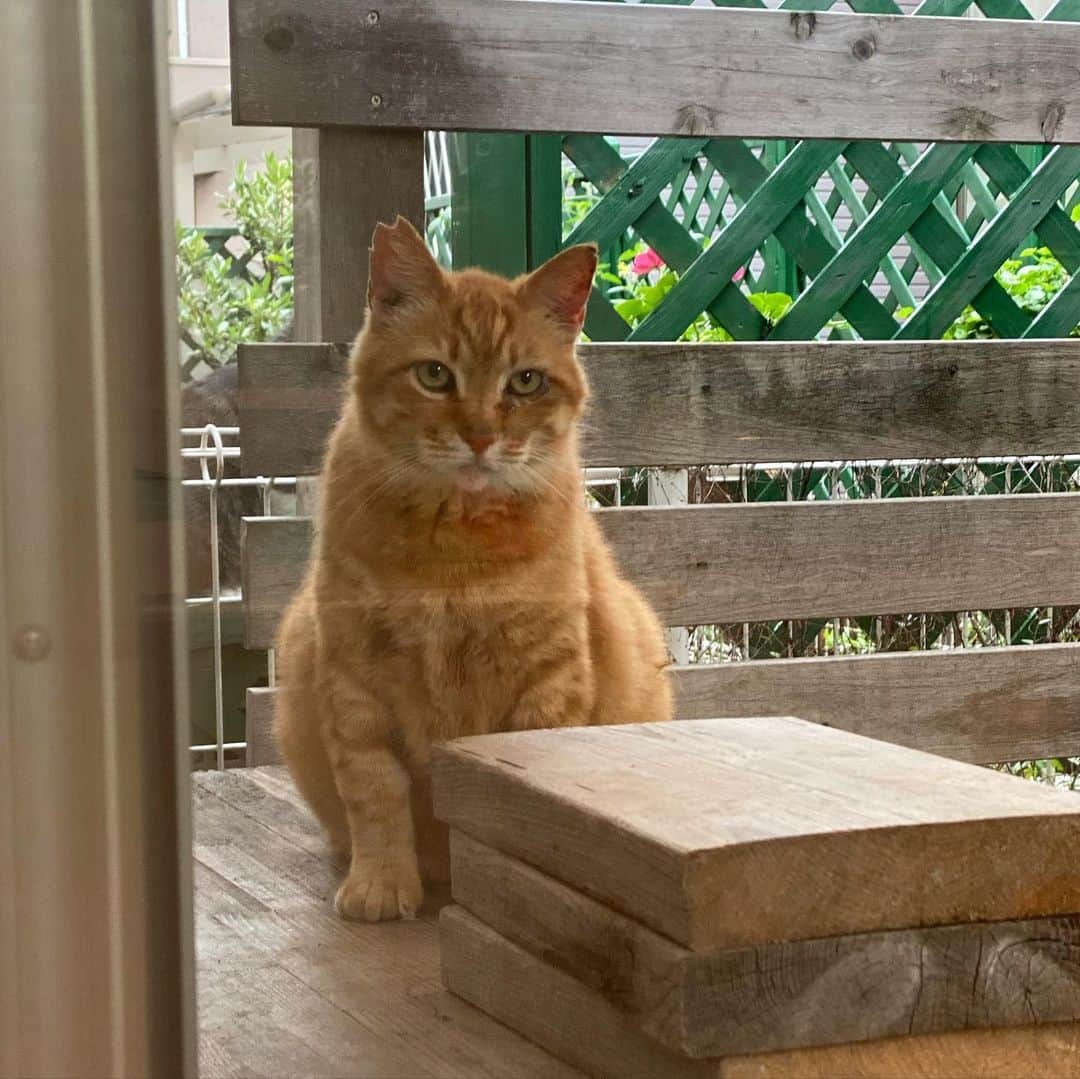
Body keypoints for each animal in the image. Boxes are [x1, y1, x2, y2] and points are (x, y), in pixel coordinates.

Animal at [274, 217, 669, 920]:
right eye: (435, 374)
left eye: (526, 382)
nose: (482, 436)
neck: (453, 559)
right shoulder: (352, 676)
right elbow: (375, 794)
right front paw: (382, 883)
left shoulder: (549, 677)